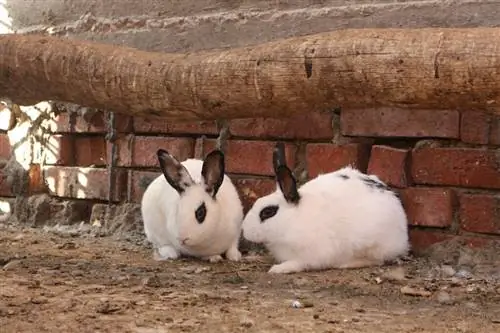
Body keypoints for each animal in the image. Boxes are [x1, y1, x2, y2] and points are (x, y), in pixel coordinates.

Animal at [242, 141, 410, 274]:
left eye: (268, 212)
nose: (244, 231)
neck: (292, 221)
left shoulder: (312, 255)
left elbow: (298, 263)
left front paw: (278, 269)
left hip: (373, 245)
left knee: (377, 260)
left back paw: (347, 264)